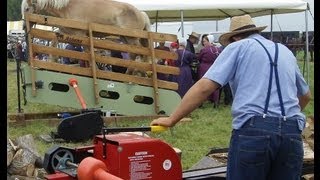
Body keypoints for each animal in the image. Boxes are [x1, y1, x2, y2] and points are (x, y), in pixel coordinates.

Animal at [21, 0, 151, 75]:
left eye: (27, 9)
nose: (23, 27)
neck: (67, 7)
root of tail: (141, 14)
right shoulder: (67, 32)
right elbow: (54, 42)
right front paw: (53, 62)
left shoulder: (81, 34)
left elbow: (88, 52)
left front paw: (95, 71)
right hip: (125, 38)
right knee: (135, 54)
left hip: (132, 38)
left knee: (140, 53)